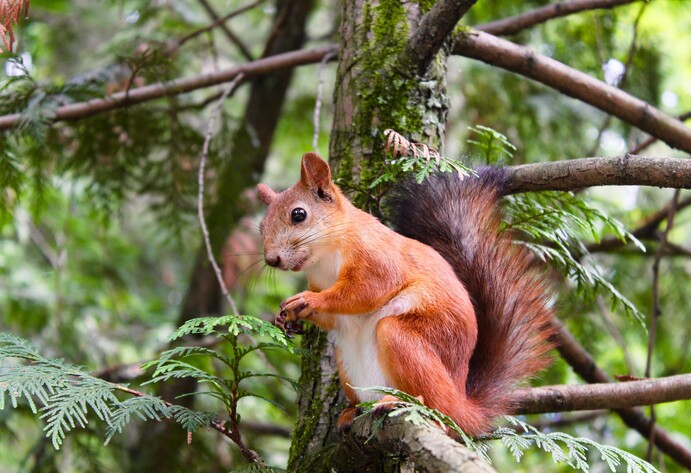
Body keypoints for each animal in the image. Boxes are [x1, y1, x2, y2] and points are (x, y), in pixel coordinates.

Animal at [256, 151, 556, 436]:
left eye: (298, 215)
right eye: (261, 227)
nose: (271, 260)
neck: (325, 256)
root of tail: (463, 405)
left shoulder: (376, 257)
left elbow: (364, 291)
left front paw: (308, 300)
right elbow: (334, 317)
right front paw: (287, 317)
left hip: (405, 340)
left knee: (437, 408)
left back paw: (402, 402)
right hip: (347, 364)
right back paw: (351, 412)